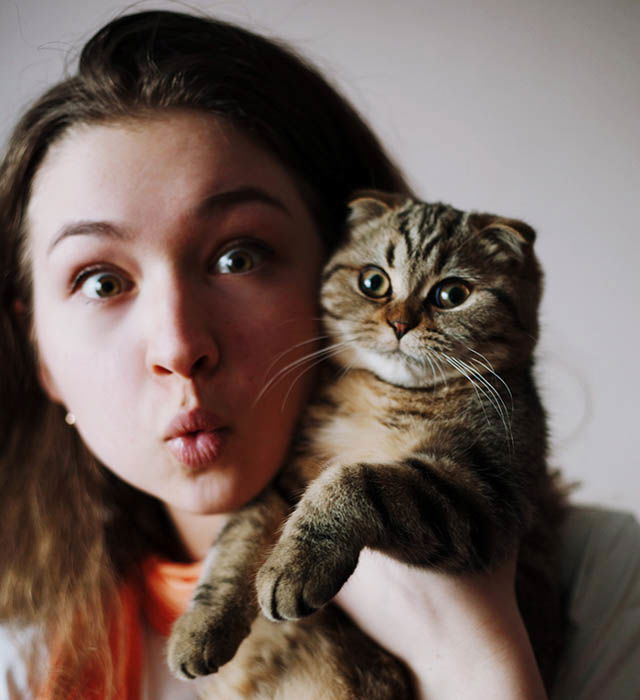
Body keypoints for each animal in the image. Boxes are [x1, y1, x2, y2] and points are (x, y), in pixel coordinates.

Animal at [168, 190, 568, 696]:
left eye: (453, 294)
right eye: (373, 282)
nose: (399, 324)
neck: (387, 395)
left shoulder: (485, 492)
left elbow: (354, 482)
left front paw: (295, 567)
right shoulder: (284, 480)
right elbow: (233, 548)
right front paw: (199, 629)